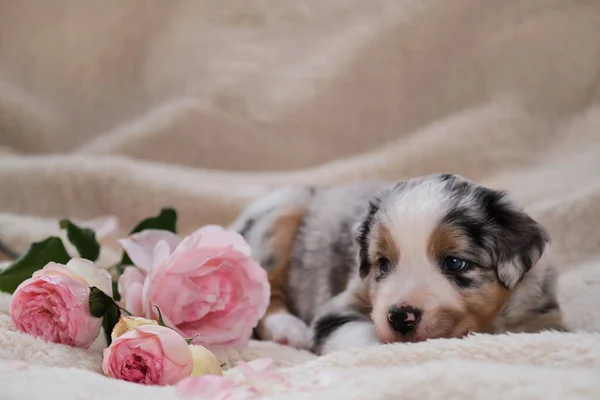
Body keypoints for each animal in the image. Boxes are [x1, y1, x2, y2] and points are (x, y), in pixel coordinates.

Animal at [227, 173, 564, 354]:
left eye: (455, 263)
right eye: (383, 263)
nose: (401, 316)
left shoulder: (542, 314)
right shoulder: (341, 306)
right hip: (280, 211)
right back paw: (290, 330)